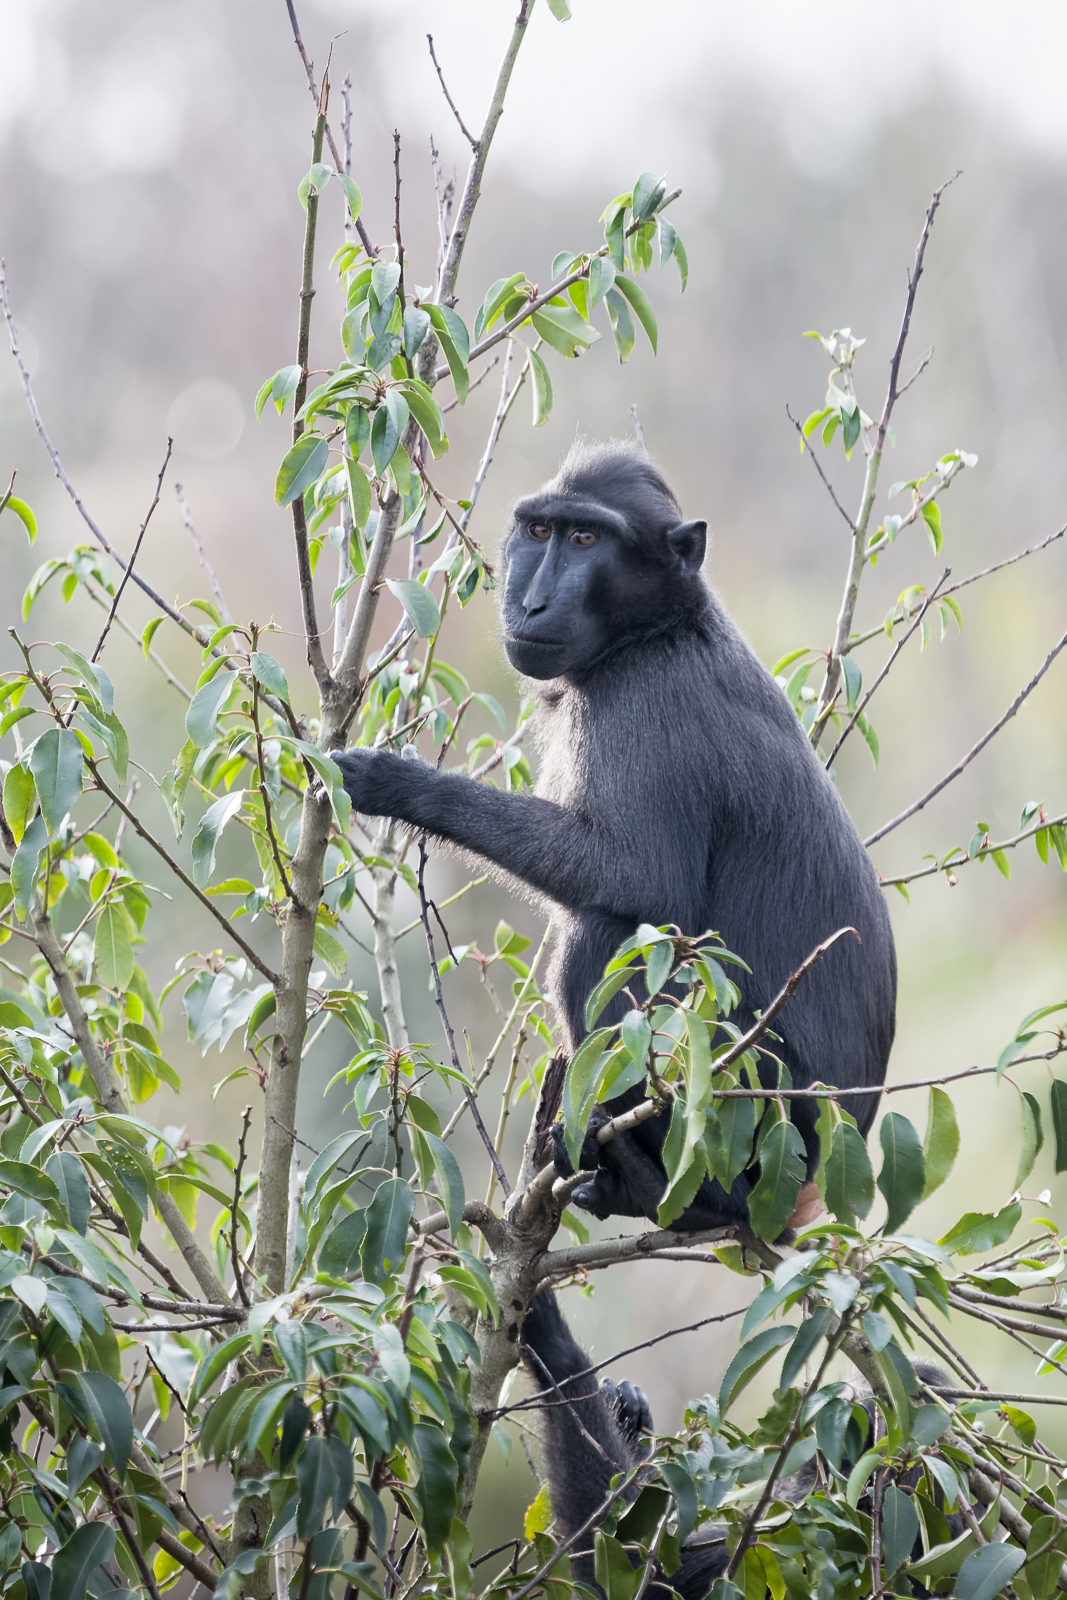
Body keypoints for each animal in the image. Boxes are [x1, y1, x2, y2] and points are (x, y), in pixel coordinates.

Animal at [331, 441, 896, 1231]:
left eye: (586, 539)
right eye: (540, 532)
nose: (531, 602)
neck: (659, 628)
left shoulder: (645, 706)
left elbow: (635, 877)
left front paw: (399, 785)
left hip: (756, 1099)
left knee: (607, 935)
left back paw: (681, 1194)